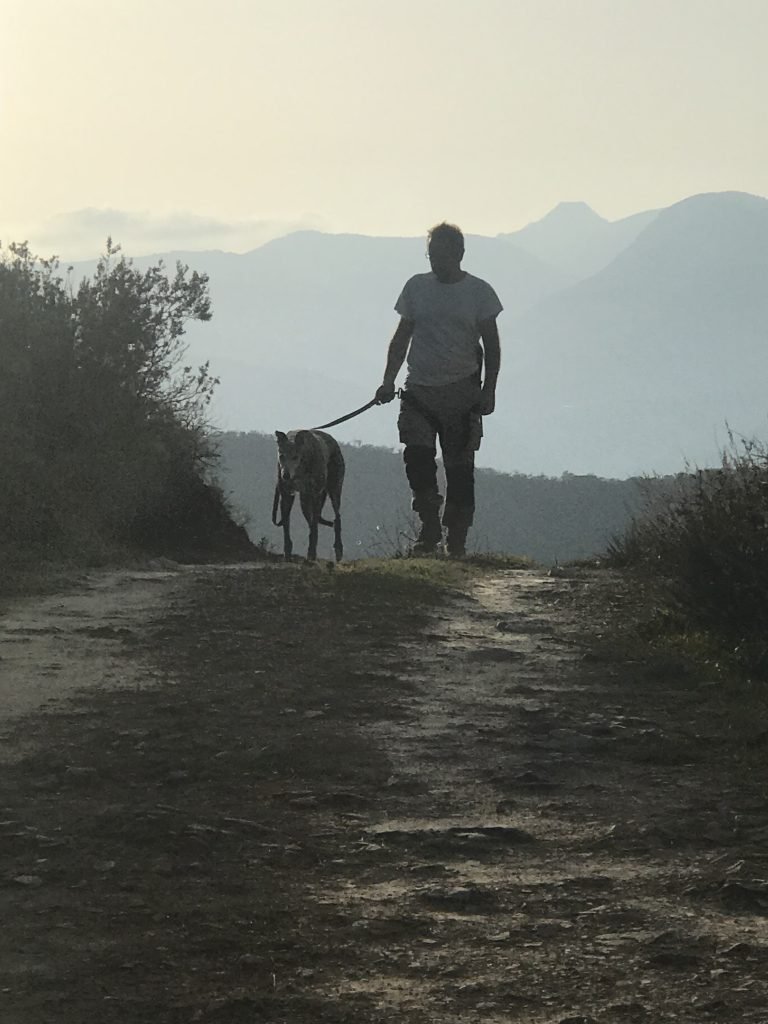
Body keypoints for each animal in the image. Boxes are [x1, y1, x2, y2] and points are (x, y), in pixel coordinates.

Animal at [270, 430, 342, 565]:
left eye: (295, 457)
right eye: (281, 455)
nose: (285, 475)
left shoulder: (316, 494)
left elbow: (314, 528)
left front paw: (312, 554)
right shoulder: (286, 495)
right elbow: (286, 526)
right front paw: (287, 554)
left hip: (334, 490)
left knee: (336, 518)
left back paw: (338, 548)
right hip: (304, 501)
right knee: (312, 521)